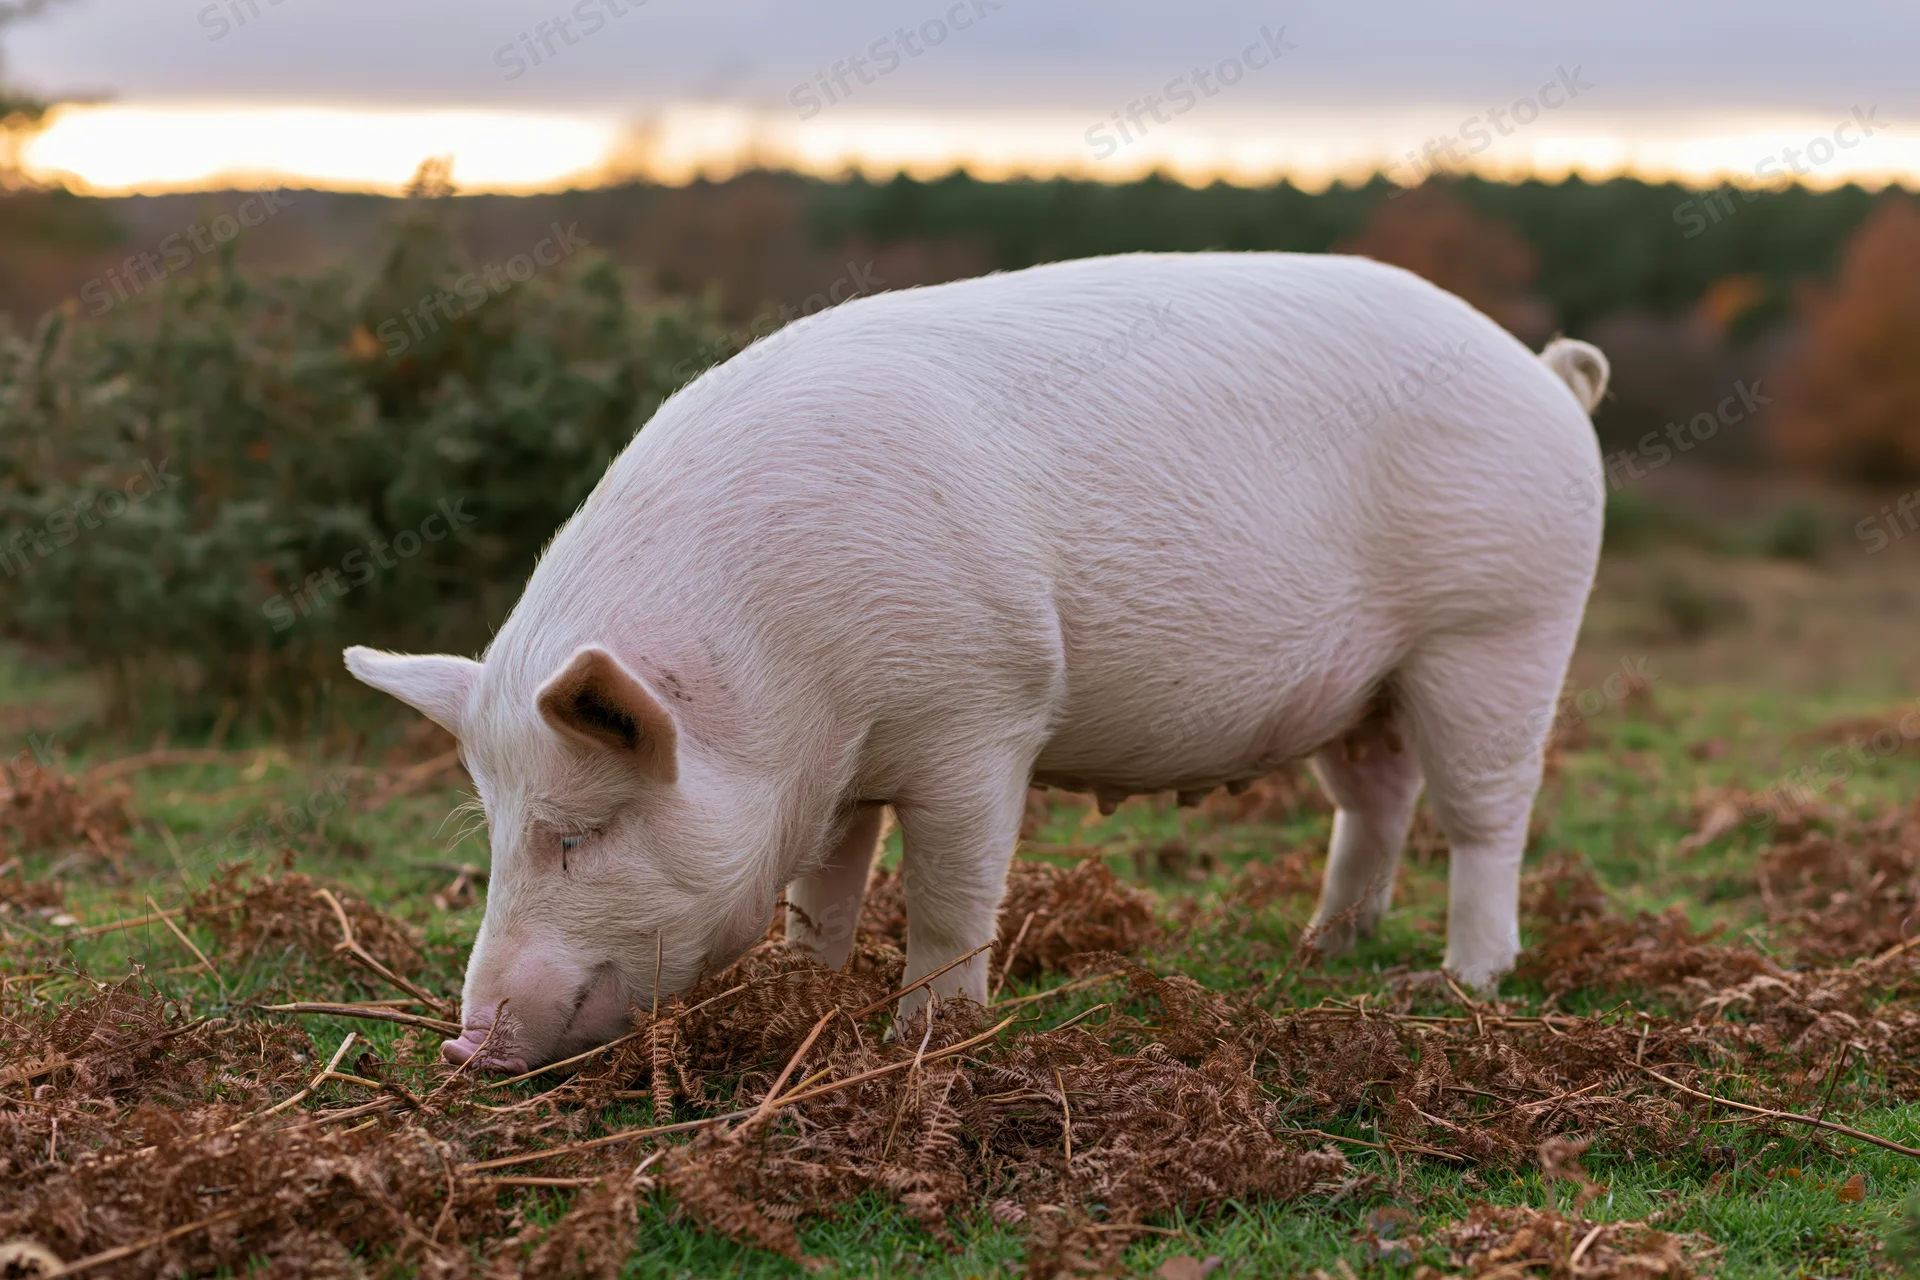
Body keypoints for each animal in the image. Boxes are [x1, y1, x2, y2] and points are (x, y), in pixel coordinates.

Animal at [345, 250, 1609, 1072]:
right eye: (497, 830)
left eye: (582, 831)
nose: (463, 1043)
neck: (788, 688)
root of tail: (1547, 375)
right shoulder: (839, 769)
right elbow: (822, 890)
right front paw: (805, 992)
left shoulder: (984, 711)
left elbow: (950, 896)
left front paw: (924, 1040)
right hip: (1366, 686)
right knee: (1378, 797)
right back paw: (1324, 944)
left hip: (1498, 630)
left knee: (1490, 811)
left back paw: (1462, 978)